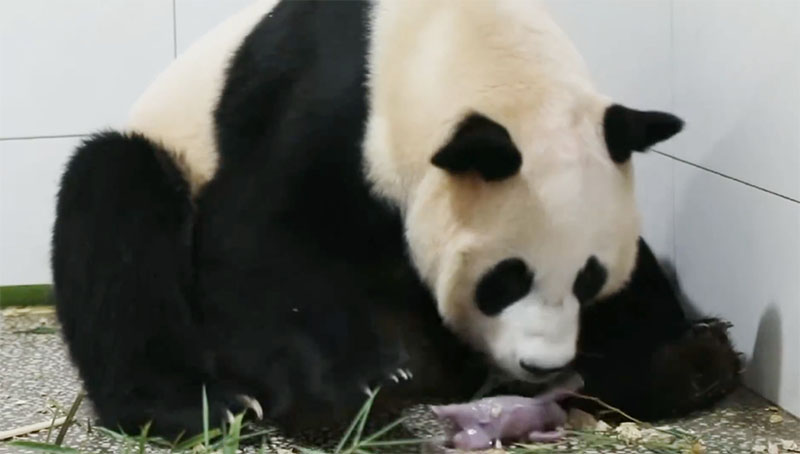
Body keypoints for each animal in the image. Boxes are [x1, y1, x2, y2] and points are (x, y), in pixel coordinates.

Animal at [52, 0, 740, 438]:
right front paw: (342, 401)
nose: (542, 367)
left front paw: (687, 357)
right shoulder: (324, 105)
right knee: (117, 207)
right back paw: (204, 408)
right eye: (506, 279)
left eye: (590, 279)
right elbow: (254, 248)